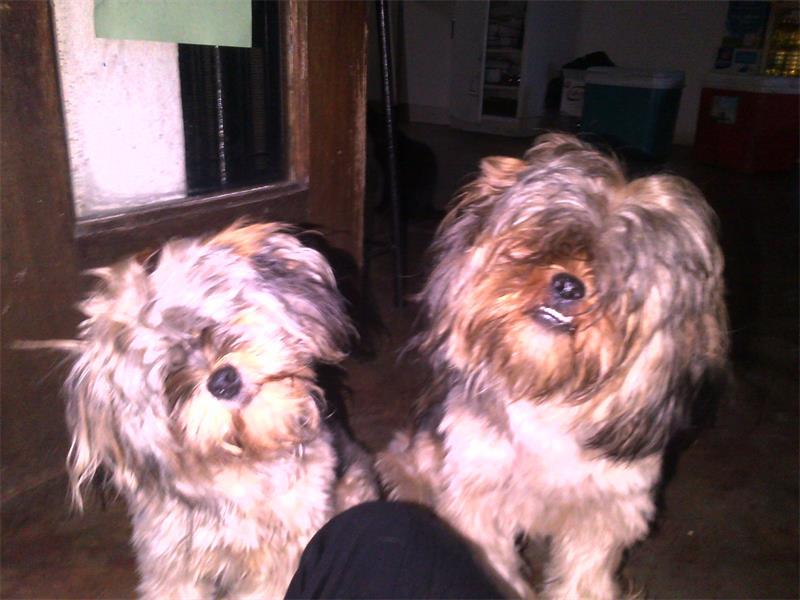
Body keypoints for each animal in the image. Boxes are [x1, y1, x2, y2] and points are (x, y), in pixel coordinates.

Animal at [55, 222, 378, 599]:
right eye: (165, 370)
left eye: (213, 322)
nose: (224, 381)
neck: (241, 463)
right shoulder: (171, 567)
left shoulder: (279, 565)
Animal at [377, 134, 729, 599]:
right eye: (547, 243)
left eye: (622, 276)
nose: (568, 286)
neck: (549, 397)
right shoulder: (479, 495)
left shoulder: (608, 511)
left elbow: (584, 580)